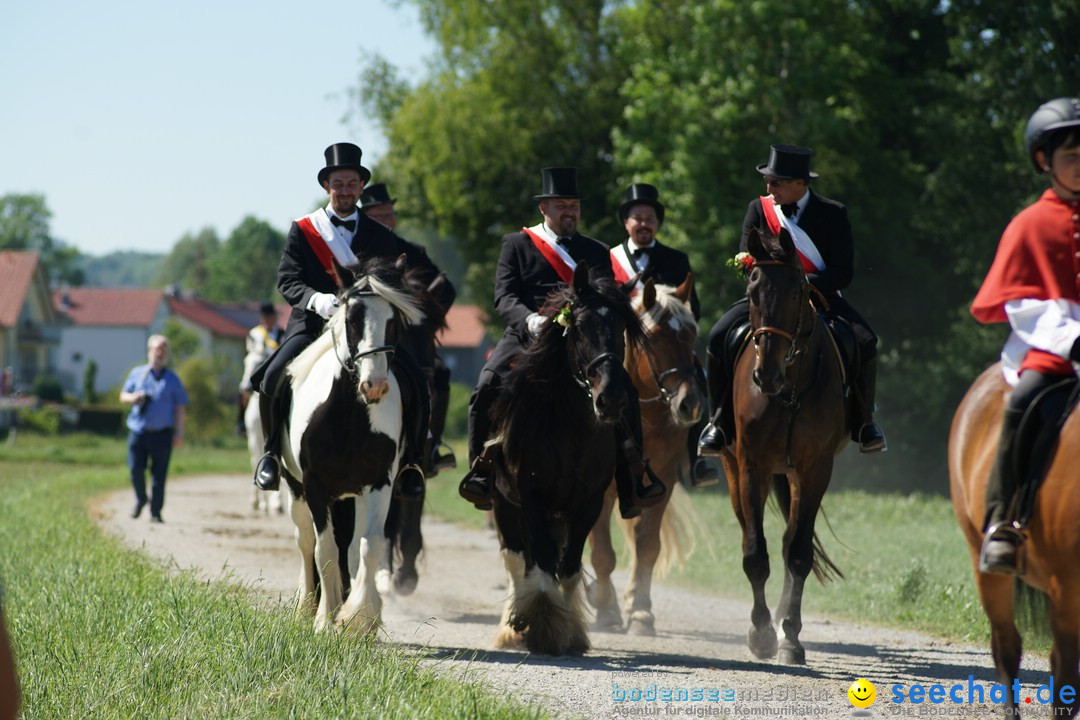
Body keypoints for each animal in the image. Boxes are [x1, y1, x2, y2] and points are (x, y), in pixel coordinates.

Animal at [276, 255, 423, 634]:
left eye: (394, 321)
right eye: (352, 317)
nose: (375, 386)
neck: (349, 414)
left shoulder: (379, 482)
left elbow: (369, 546)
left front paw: (360, 618)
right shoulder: (314, 484)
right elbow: (324, 549)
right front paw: (324, 619)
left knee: (354, 546)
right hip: (295, 487)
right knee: (305, 540)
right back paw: (306, 605)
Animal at [492, 262, 648, 656]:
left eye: (622, 328)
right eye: (579, 326)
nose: (611, 398)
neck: (571, 425)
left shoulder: (588, 503)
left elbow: (569, 565)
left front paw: (568, 631)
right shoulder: (531, 496)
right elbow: (544, 559)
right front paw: (544, 625)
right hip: (504, 502)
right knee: (517, 558)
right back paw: (511, 627)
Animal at [587, 276, 704, 634]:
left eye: (692, 333)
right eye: (653, 338)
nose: (689, 404)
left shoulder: (660, 480)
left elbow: (648, 546)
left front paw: (640, 612)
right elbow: (602, 552)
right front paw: (605, 609)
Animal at [721, 227, 846, 669]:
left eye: (796, 293)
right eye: (752, 291)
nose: (765, 375)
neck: (789, 389)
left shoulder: (815, 470)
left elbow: (798, 555)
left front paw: (790, 636)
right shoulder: (751, 467)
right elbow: (755, 554)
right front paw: (760, 635)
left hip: (794, 478)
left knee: (792, 540)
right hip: (736, 470)